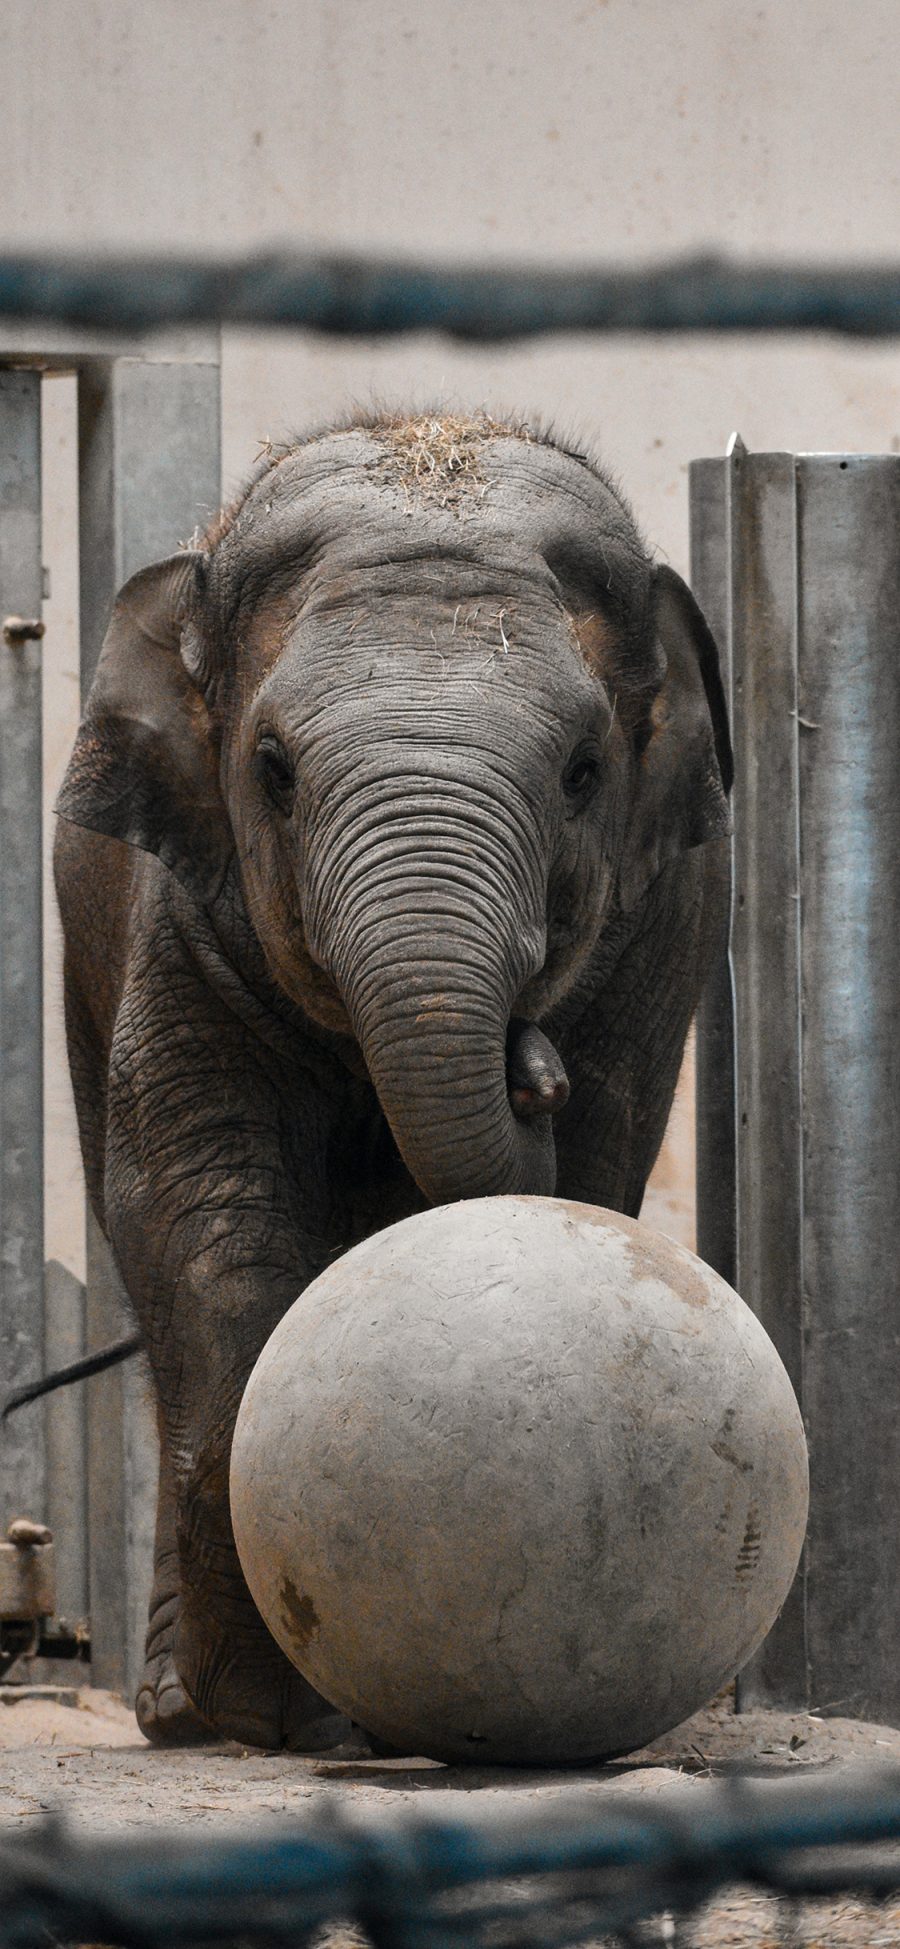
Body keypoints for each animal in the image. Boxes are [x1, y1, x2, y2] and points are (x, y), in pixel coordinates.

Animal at [52, 411, 732, 1754]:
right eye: (271, 767)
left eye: (584, 769)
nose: (531, 1064)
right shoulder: (180, 920)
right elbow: (196, 1216)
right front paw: (256, 1715)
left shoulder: (662, 933)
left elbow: (593, 1173)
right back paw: (180, 1715)